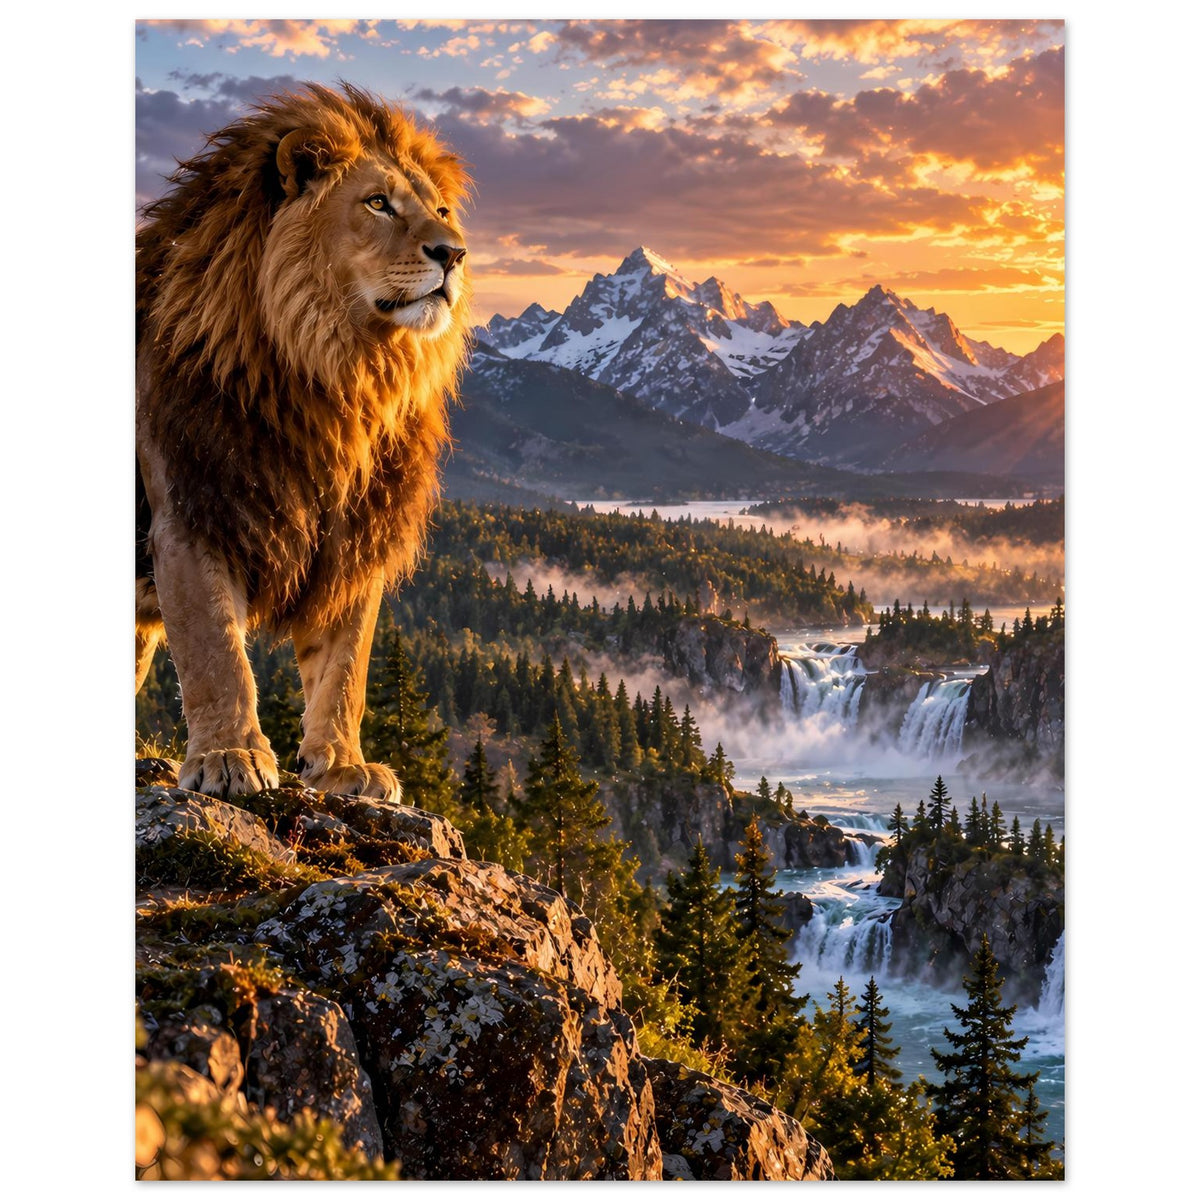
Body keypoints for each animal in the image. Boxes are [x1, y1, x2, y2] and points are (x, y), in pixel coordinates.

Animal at [136, 83, 472, 803]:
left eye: (440, 210)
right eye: (377, 203)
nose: (454, 254)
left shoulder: (354, 538)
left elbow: (345, 669)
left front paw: (342, 764)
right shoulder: (192, 512)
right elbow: (215, 653)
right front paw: (230, 754)